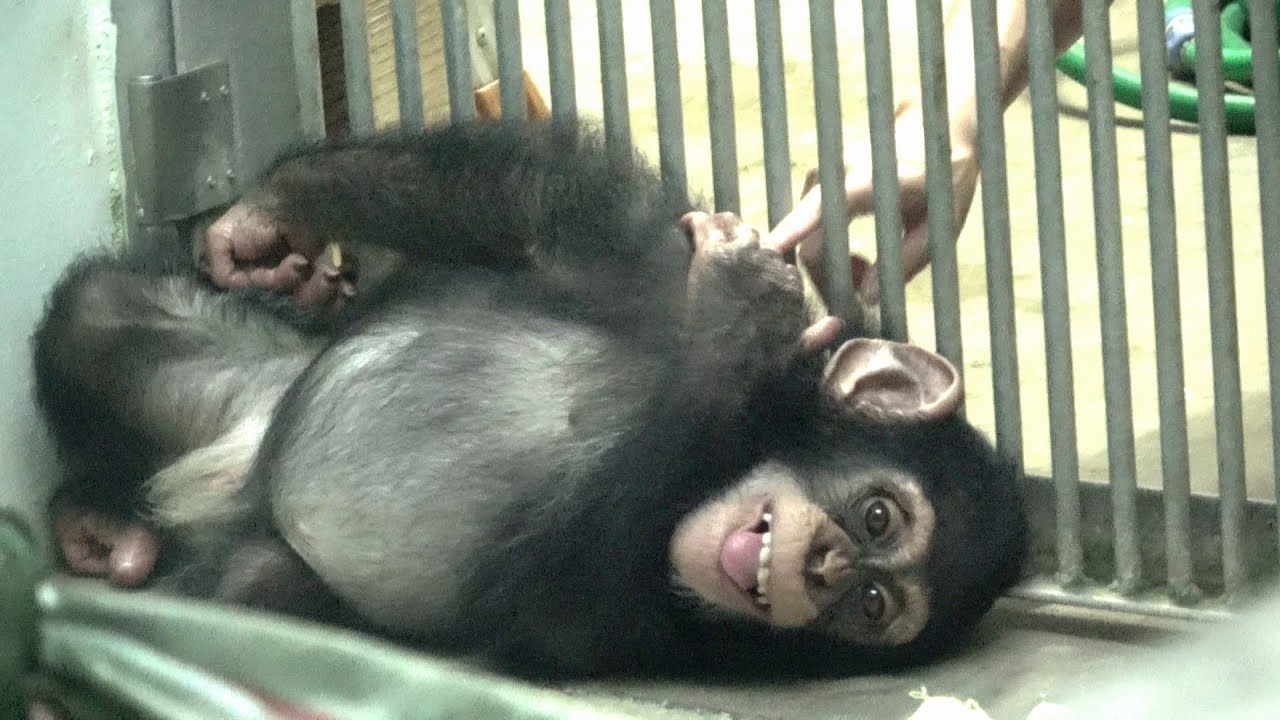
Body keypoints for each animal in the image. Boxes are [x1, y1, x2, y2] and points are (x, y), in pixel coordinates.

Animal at [31, 119, 1026, 678]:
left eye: (871, 606)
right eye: (877, 517)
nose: (822, 567)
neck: (736, 447)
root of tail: (226, 480)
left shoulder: (643, 629)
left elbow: (553, 592)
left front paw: (739, 319)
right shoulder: (637, 248)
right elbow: (511, 201)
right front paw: (264, 223)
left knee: (252, 585)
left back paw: (116, 539)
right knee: (97, 311)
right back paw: (99, 519)